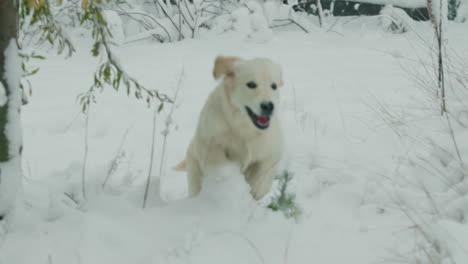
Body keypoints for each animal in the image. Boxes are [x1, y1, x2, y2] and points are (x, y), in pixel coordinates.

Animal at [175, 56, 284, 200]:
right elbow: (217, 161)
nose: (268, 106)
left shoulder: (272, 151)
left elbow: (262, 179)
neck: (243, 127)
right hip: (193, 166)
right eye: (251, 84)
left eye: (274, 86)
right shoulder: (209, 141)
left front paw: (253, 191)